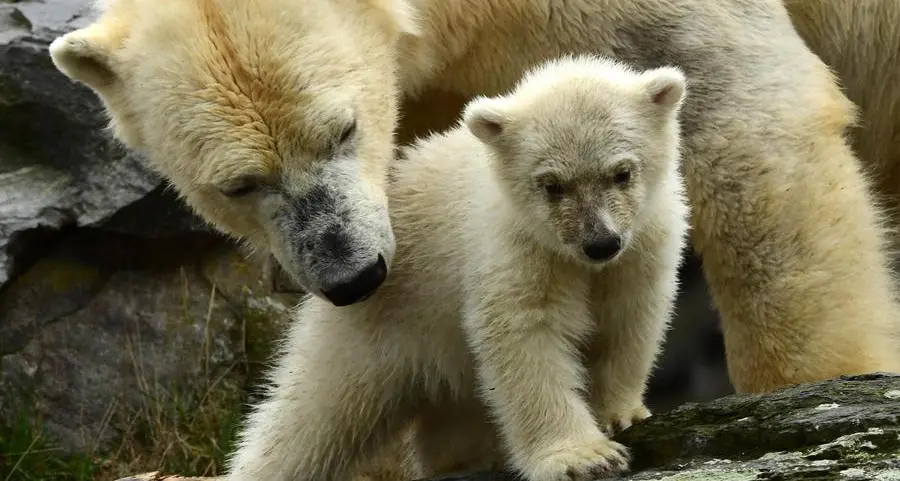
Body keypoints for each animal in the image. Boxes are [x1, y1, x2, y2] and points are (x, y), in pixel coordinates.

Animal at [222, 53, 692, 481]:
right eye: (552, 185)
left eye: (622, 173)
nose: (601, 243)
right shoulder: (512, 246)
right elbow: (526, 334)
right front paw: (583, 457)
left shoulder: (644, 243)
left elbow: (630, 317)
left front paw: (621, 414)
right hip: (376, 322)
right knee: (312, 415)